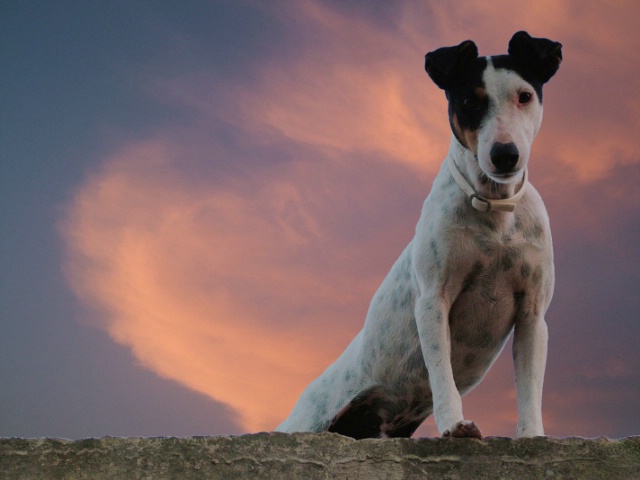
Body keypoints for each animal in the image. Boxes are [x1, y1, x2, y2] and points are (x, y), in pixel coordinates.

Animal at [278, 31, 564, 438]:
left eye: (524, 96)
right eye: (469, 101)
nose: (505, 154)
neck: (493, 210)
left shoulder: (532, 314)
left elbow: (528, 387)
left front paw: (531, 435)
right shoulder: (433, 302)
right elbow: (442, 376)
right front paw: (454, 424)